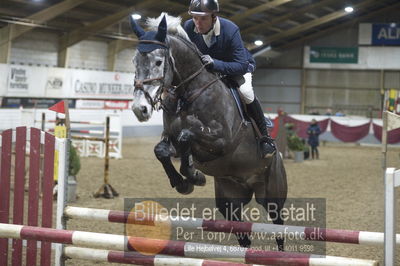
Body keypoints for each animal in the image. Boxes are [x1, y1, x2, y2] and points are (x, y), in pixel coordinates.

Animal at [130, 15, 286, 249]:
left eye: (158, 62)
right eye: (134, 62)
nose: (140, 109)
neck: (189, 92)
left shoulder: (222, 141)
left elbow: (187, 135)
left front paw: (193, 174)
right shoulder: (170, 138)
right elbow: (162, 150)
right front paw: (183, 182)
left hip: (272, 192)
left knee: (278, 225)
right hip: (229, 198)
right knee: (241, 231)